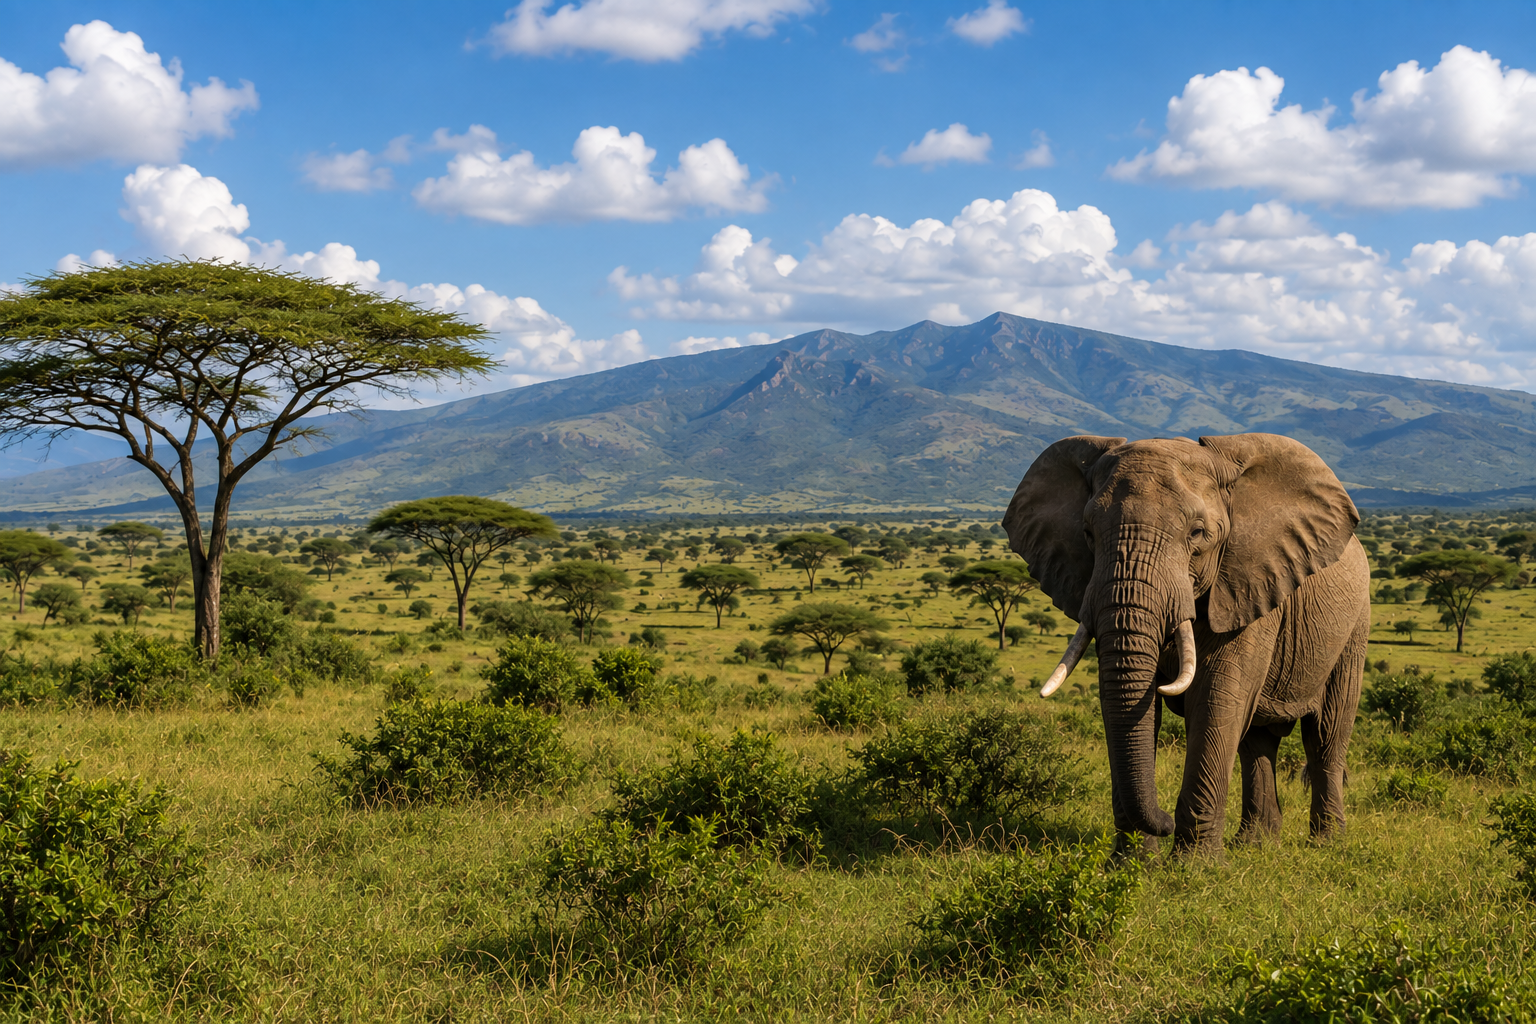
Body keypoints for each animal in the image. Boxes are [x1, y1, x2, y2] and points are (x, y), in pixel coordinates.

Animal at [1002, 433, 1370, 855]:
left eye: (1196, 533)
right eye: (1088, 533)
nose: (1163, 821)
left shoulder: (1246, 585)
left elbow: (1216, 698)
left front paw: (1195, 864)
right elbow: (1132, 705)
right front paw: (1133, 862)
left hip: (1355, 626)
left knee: (1325, 736)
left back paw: (1328, 845)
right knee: (1257, 742)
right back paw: (1256, 846)